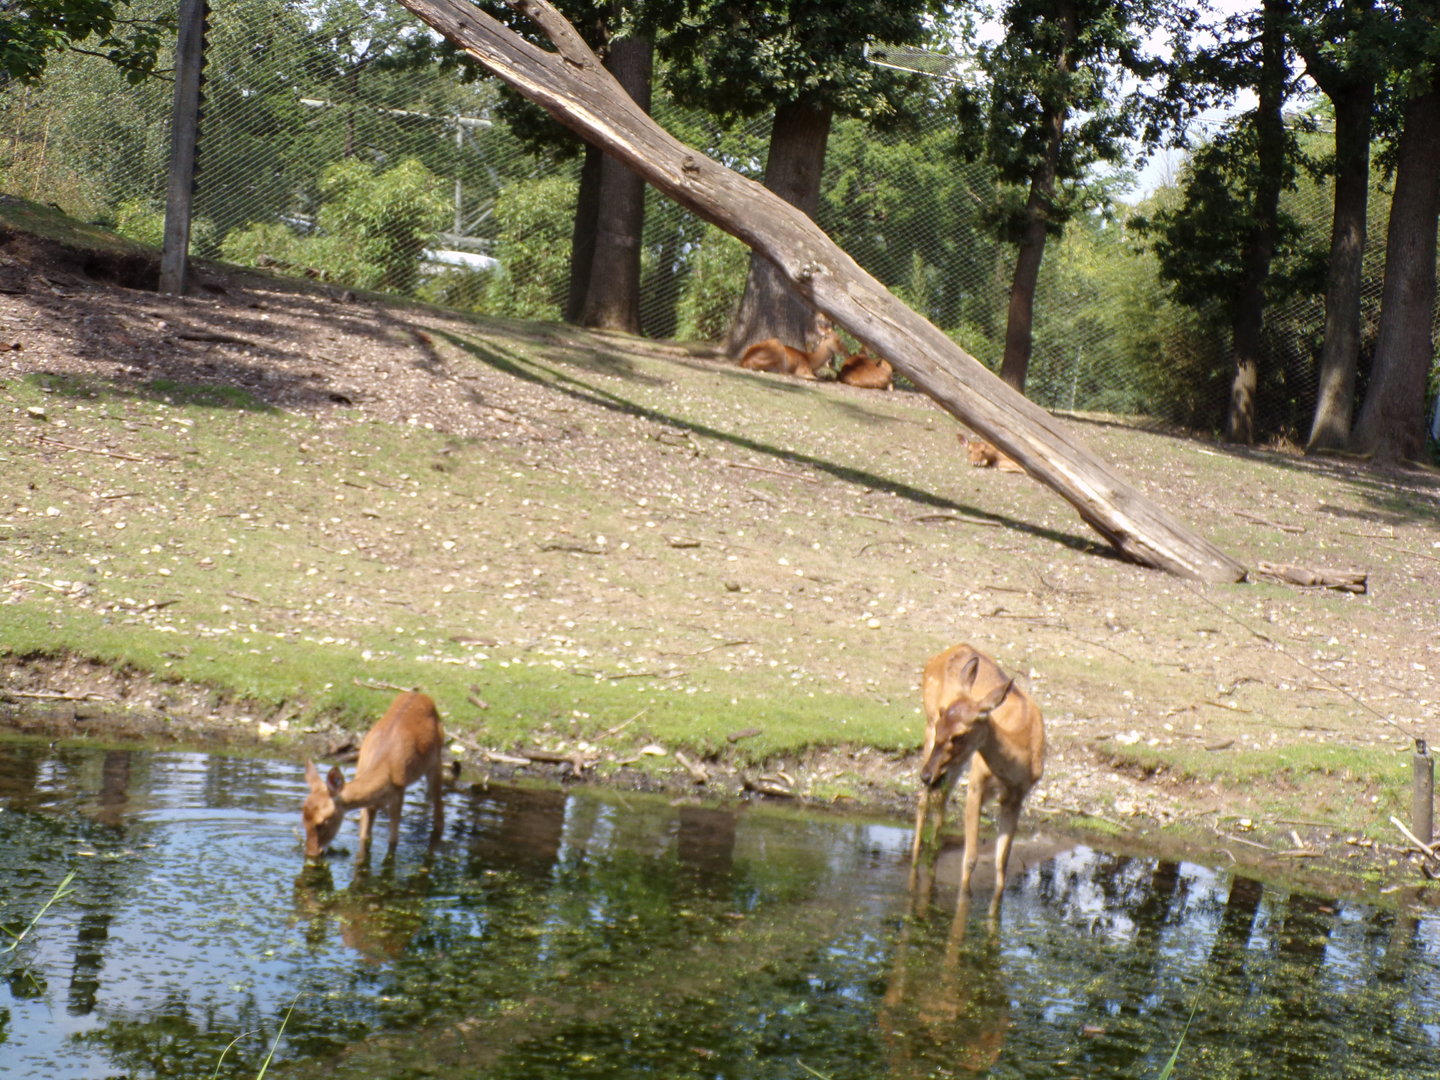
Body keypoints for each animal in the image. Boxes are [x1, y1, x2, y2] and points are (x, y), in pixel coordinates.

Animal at [302, 690, 446, 859]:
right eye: (303, 819)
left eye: (322, 822)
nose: (311, 853)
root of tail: (419, 693)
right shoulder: (370, 804)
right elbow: (364, 837)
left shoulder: (399, 792)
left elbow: (393, 840)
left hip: (436, 760)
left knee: (439, 810)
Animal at [910, 644, 1045, 911]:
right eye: (943, 724)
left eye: (959, 735)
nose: (926, 775)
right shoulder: (976, 784)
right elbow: (970, 856)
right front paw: (964, 897)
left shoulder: (1017, 797)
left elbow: (1002, 861)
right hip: (929, 730)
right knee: (923, 801)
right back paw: (916, 861)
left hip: (955, 764)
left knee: (940, 798)